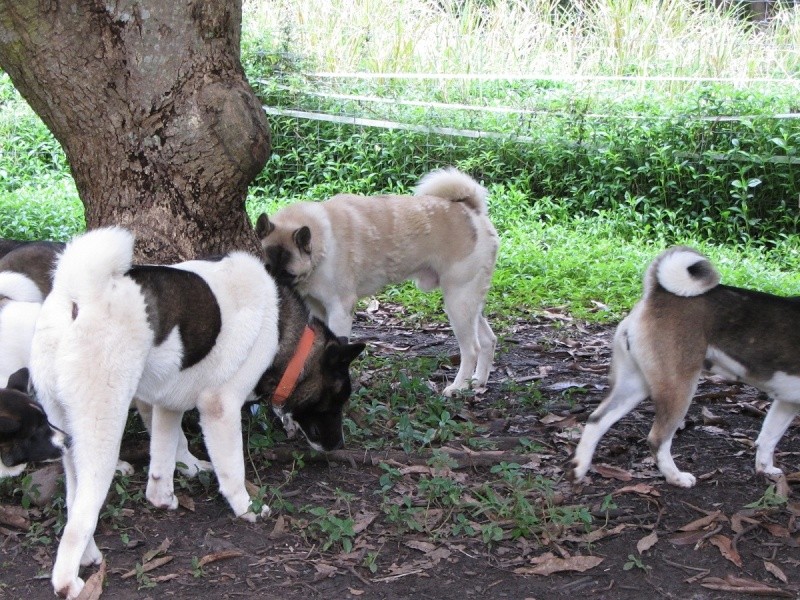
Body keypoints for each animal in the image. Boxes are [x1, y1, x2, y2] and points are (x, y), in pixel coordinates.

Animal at [31, 227, 362, 596]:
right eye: (338, 397)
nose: (339, 445)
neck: (283, 331)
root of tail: (78, 293)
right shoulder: (221, 407)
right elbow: (232, 470)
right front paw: (246, 507)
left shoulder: (166, 403)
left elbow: (166, 453)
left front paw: (165, 494)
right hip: (102, 432)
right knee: (81, 516)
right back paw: (68, 582)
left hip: (68, 433)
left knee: (73, 500)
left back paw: (88, 555)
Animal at [256, 166, 496, 396]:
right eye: (266, 268)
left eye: (287, 274)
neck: (322, 241)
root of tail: (471, 210)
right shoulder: (318, 310)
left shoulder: (340, 312)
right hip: (469, 305)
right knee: (488, 341)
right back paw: (478, 382)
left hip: (458, 303)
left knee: (472, 349)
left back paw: (458, 387)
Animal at [572, 247, 800, 488]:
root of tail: (655, 294)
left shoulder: (787, 402)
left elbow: (767, 438)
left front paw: (765, 470)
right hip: (679, 388)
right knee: (657, 439)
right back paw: (676, 477)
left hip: (635, 384)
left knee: (596, 420)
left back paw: (578, 469)